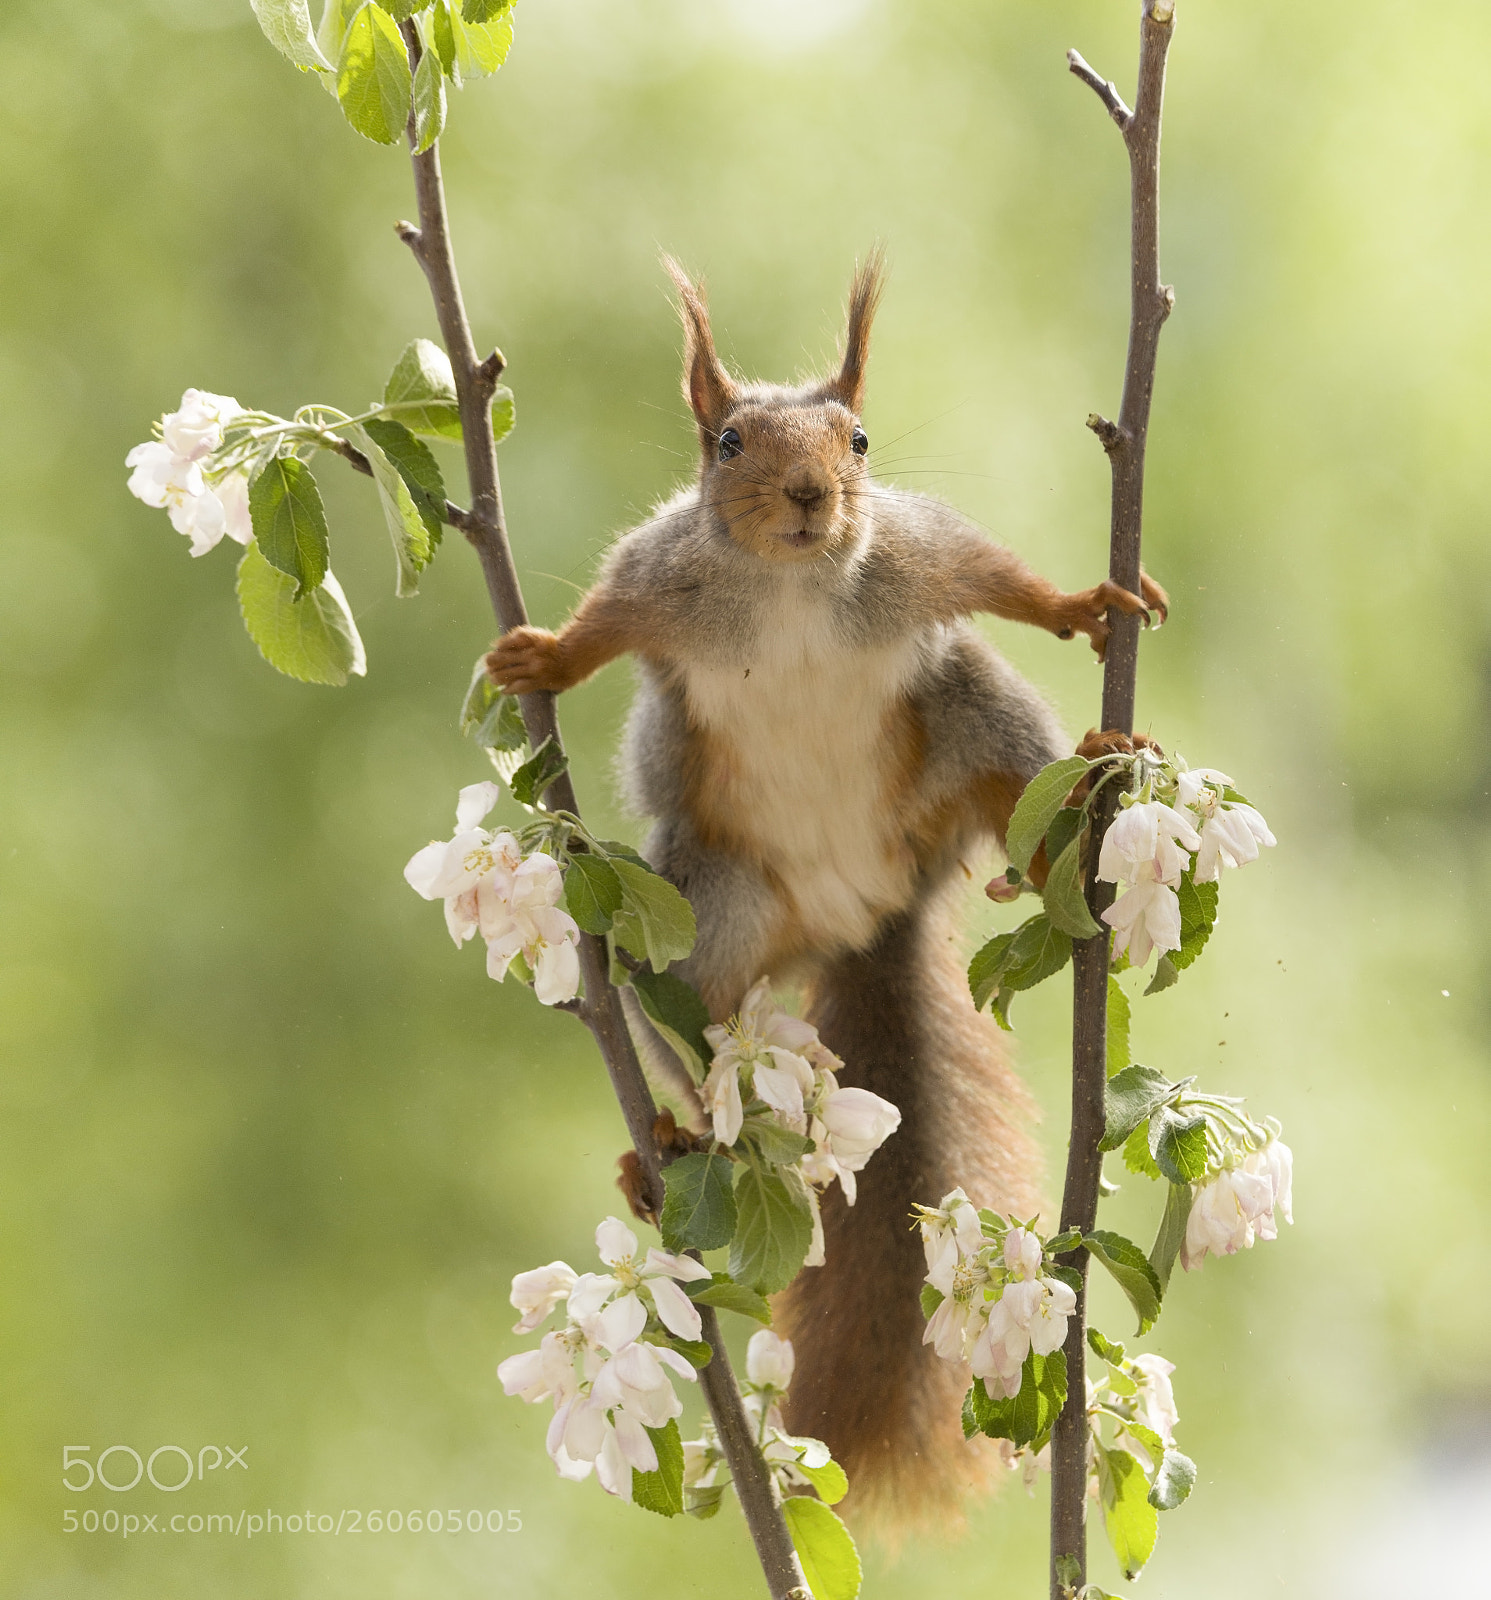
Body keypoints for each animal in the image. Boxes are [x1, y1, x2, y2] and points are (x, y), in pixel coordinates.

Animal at [487, 255, 1166, 1527]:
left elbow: (996, 576)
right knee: (689, 1017)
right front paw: (539, 655)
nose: (811, 493)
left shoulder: (916, 557)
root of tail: (871, 913)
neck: (794, 584)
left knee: (1010, 763)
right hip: (715, 908)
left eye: (857, 439)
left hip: (965, 722)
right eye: (728, 441)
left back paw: (1075, 806)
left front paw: (1086, 603)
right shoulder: (659, 578)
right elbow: (602, 623)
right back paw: (670, 1135)